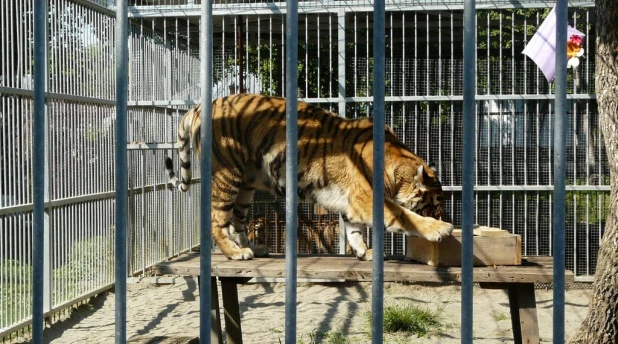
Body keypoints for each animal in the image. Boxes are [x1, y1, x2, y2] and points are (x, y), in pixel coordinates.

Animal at [165, 94, 452, 260]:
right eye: (435, 203)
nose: (444, 216)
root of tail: (198, 108)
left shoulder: (353, 204)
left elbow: (354, 230)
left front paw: (364, 252)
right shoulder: (367, 199)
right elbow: (404, 216)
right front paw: (439, 229)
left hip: (245, 185)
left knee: (237, 222)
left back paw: (255, 249)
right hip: (227, 174)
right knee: (217, 220)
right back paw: (236, 254)